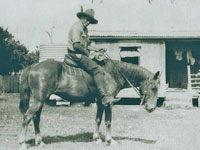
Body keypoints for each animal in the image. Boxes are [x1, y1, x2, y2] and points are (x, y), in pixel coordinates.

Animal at [18, 58, 160, 149]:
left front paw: (97, 138)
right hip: (39, 100)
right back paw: (23, 143)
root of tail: (32, 67)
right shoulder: (108, 102)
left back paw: (40, 142)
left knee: (36, 118)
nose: (152, 108)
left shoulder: (100, 102)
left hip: (41, 100)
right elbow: (108, 121)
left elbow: (98, 119)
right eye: (154, 87)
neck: (111, 74)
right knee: (27, 117)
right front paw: (110, 140)